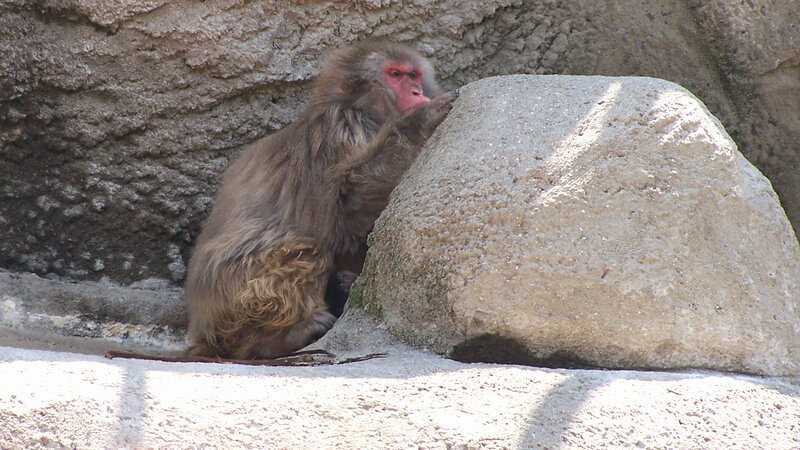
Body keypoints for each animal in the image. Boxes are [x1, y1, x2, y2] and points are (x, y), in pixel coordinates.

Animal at [183, 42, 459, 360]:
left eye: (413, 75)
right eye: (395, 74)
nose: (416, 92)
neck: (364, 112)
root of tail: (201, 329)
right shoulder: (340, 132)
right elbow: (342, 215)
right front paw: (419, 122)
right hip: (230, 299)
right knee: (307, 251)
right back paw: (273, 339)